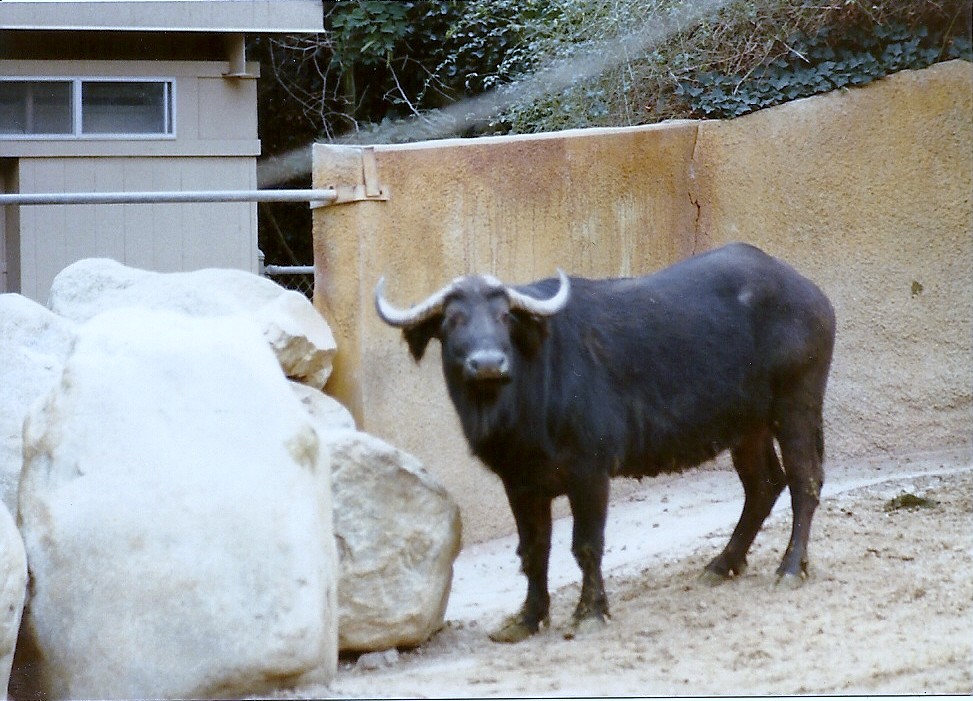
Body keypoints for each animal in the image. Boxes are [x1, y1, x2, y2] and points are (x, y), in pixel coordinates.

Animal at [375, 243, 836, 643]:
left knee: (804, 481)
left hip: (796, 405)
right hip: (748, 426)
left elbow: (586, 545)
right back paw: (722, 565)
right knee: (763, 485)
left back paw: (790, 569)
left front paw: (590, 613)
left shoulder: (590, 472)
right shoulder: (519, 483)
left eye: (504, 315)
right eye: (453, 319)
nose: (488, 363)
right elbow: (533, 550)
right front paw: (527, 618)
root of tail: (811, 294)